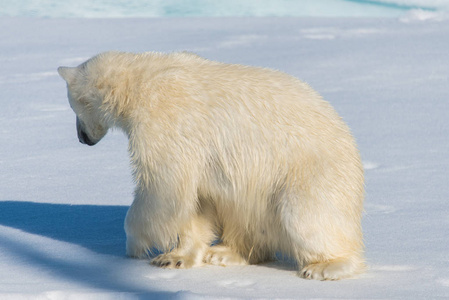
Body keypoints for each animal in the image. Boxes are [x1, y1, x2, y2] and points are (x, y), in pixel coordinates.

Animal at [57, 51, 364, 278]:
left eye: (72, 106)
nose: (82, 138)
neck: (139, 81)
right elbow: (197, 200)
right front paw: (175, 258)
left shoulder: (165, 118)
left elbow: (164, 185)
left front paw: (137, 245)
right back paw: (224, 252)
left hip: (311, 173)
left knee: (303, 214)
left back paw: (326, 266)